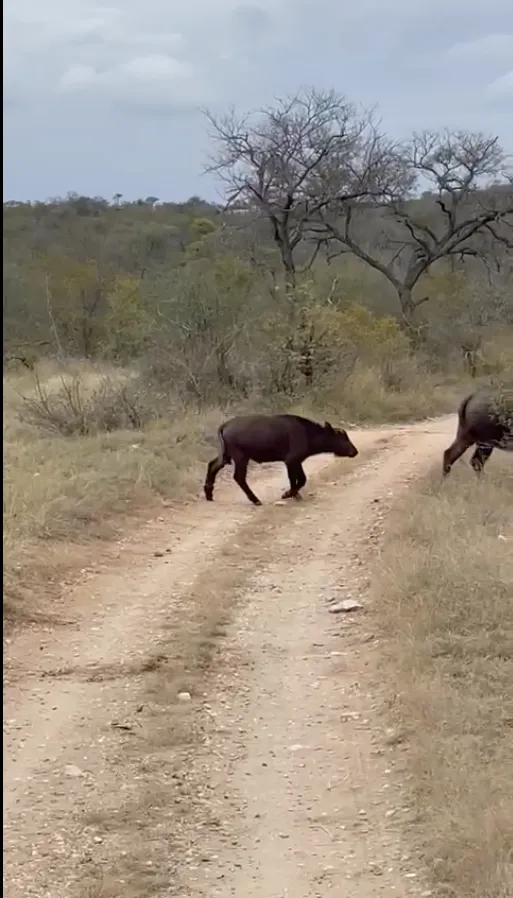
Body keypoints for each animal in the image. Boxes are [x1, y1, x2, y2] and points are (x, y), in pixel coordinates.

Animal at [204, 413, 358, 505]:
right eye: (341, 438)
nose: (355, 451)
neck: (307, 433)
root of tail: (225, 425)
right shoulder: (291, 461)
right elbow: (296, 479)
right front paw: (289, 494)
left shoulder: (297, 461)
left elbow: (301, 478)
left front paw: (293, 494)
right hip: (241, 458)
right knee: (239, 477)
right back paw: (256, 500)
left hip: (226, 456)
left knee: (213, 465)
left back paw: (209, 494)